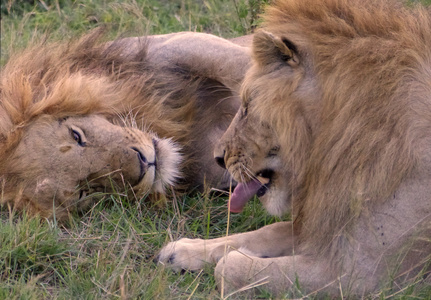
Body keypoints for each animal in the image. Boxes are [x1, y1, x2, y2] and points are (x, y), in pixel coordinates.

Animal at [158, 0, 431, 296]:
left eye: (247, 106)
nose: (218, 158)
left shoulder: (366, 277)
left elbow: (230, 266)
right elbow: (268, 231)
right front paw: (184, 249)